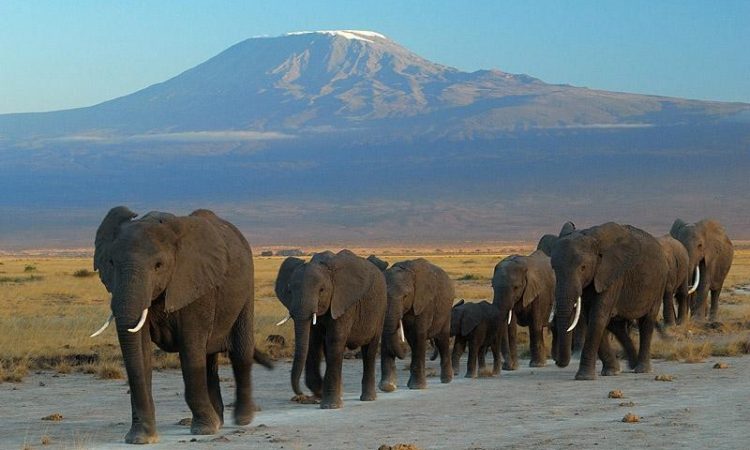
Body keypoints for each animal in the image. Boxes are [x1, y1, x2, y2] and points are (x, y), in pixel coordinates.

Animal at [91, 207, 272, 444]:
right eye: (111, 263)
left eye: (158, 266)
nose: (140, 435)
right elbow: (141, 351)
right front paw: (141, 438)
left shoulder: (196, 284)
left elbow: (190, 349)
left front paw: (204, 430)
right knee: (209, 359)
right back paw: (219, 420)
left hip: (246, 289)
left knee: (240, 352)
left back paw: (241, 420)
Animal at [274, 249, 388, 409]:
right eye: (289, 291)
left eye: (322, 290)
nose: (300, 395)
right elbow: (313, 341)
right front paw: (322, 393)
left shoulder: (343, 302)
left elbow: (335, 339)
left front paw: (330, 405)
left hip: (380, 309)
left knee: (369, 351)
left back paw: (368, 398)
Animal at [379, 258, 454, 392]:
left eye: (405, 296)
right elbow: (386, 336)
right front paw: (387, 387)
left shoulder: (424, 303)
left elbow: (418, 335)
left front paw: (417, 387)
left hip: (446, 311)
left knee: (442, 340)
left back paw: (446, 380)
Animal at [551, 222, 668, 380]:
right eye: (554, 268)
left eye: (583, 268)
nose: (557, 361)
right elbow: (591, 319)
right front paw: (611, 372)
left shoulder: (611, 275)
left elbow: (597, 317)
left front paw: (584, 377)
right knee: (616, 326)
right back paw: (631, 364)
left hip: (659, 282)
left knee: (647, 321)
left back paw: (642, 369)